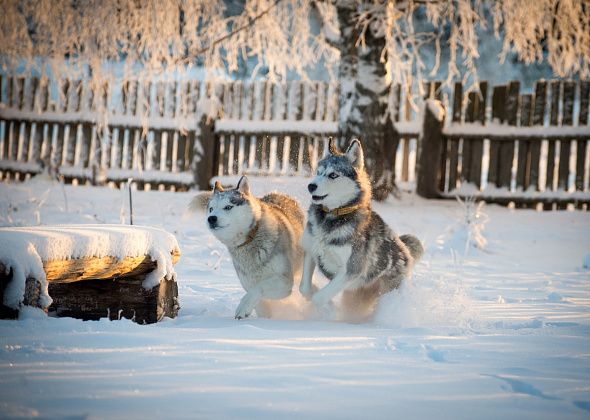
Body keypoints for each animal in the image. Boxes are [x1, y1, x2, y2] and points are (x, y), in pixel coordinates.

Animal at [193, 176, 306, 318]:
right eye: (211, 209)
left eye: (228, 207)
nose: (211, 218)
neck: (251, 239)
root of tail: (279, 194)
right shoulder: (248, 283)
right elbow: (260, 303)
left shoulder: (284, 282)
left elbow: (258, 288)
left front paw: (243, 307)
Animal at [302, 139, 424, 320]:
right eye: (318, 172)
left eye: (333, 175)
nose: (311, 186)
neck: (333, 216)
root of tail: (405, 250)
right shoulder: (311, 251)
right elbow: (304, 288)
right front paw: (315, 295)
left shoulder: (352, 270)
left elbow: (319, 297)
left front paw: (329, 309)